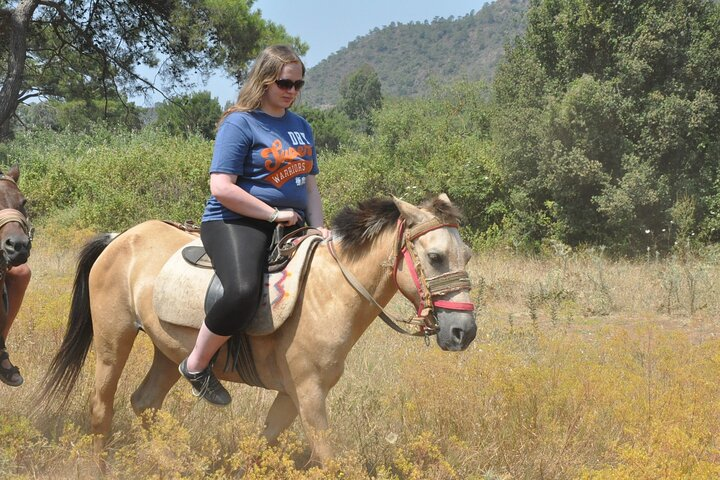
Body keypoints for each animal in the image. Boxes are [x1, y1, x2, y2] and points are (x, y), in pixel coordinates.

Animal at [42, 193, 476, 464]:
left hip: (168, 352)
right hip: (113, 340)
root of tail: (119, 238)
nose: (464, 331)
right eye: (435, 257)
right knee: (103, 408)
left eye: (467, 255)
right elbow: (329, 458)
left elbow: (262, 443)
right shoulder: (309, 392)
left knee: (145, 403)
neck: (329, 291)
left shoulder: (291, 394)